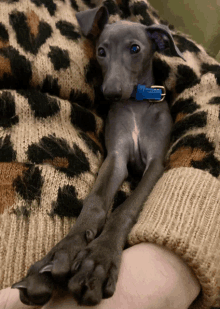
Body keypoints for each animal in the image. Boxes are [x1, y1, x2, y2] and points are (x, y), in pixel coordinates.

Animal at [12, 4, 186, 306]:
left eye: (135, 48)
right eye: (102, 51)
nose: (111, 93)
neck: (135, 105)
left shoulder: (155, 165)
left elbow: (126, 209)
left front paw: (98, 260)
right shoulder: (116, 157)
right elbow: (95, 202)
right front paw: (61, 254)